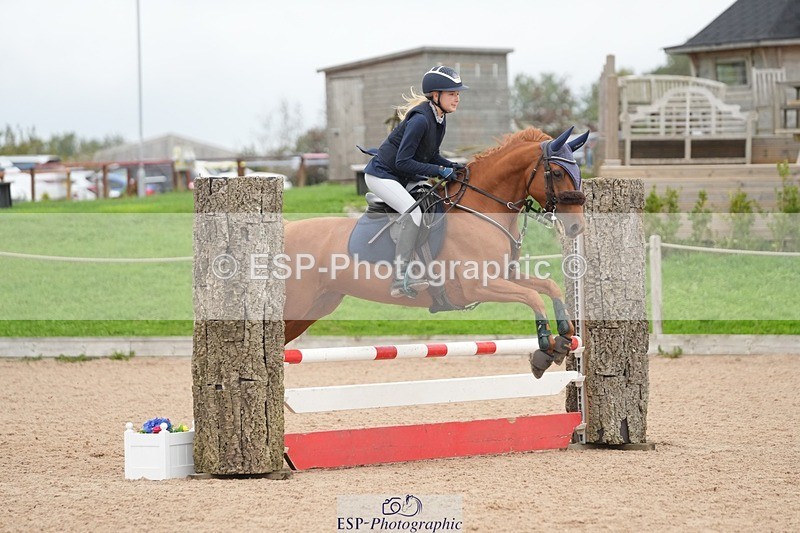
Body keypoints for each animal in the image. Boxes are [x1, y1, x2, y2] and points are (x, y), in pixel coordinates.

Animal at [283, 126, 589, 377]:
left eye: (578, 173)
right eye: (558, 173)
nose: (576, 227)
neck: (481, 208)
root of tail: (286, 229)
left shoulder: (505, 275)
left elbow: (548, 286)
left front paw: (562, 340)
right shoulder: (478, 285)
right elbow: (532, 296)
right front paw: (544, 348)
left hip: (316, 305)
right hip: (297, 304)